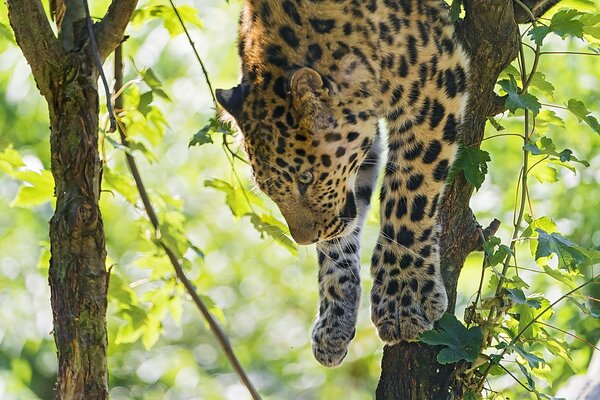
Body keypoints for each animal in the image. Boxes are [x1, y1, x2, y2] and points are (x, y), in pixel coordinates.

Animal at [216, 0, 468, 368]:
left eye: (305, 178)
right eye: (268, 191)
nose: (304, 240)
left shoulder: (434, 87)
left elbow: (408, 195)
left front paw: (402, 302)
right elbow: (340, 238)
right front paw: (334, 320)